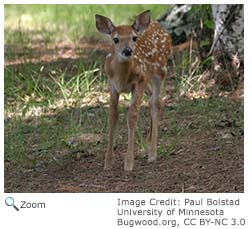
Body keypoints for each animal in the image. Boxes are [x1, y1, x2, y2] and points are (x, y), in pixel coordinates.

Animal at [95, 9, 172, 171]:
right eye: (115, 39)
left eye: (134, 38)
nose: (127, 51)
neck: (122, 78)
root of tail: (158, 25)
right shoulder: (112, 85)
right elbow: (113, 116)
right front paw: (108, 162)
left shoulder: (139, 81)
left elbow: (132, 116)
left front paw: (129, 163)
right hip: (148, 80)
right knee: (154, 100)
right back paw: (147, 143)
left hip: (161, 71)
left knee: (155, 103)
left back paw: (152, 153)